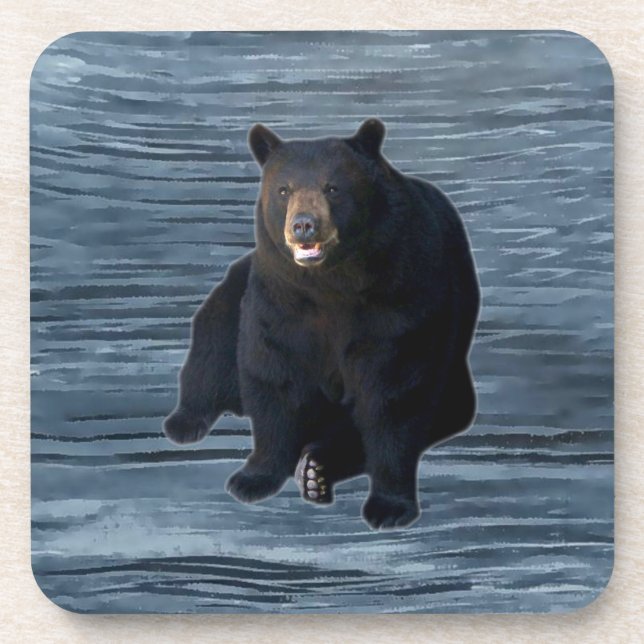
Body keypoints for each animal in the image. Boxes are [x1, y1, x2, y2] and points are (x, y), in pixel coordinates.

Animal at [164, 118, 480, 530]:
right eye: (284, 189)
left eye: (333, 187)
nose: (304, 226)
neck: (332, 282)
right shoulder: (281, 298)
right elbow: (274, 373)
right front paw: (253, 478)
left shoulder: (402, 294)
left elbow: (394, 389)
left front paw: (389, 505)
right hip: (235, 291)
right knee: (211, 346)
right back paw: (185, 423)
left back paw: (317, 468)